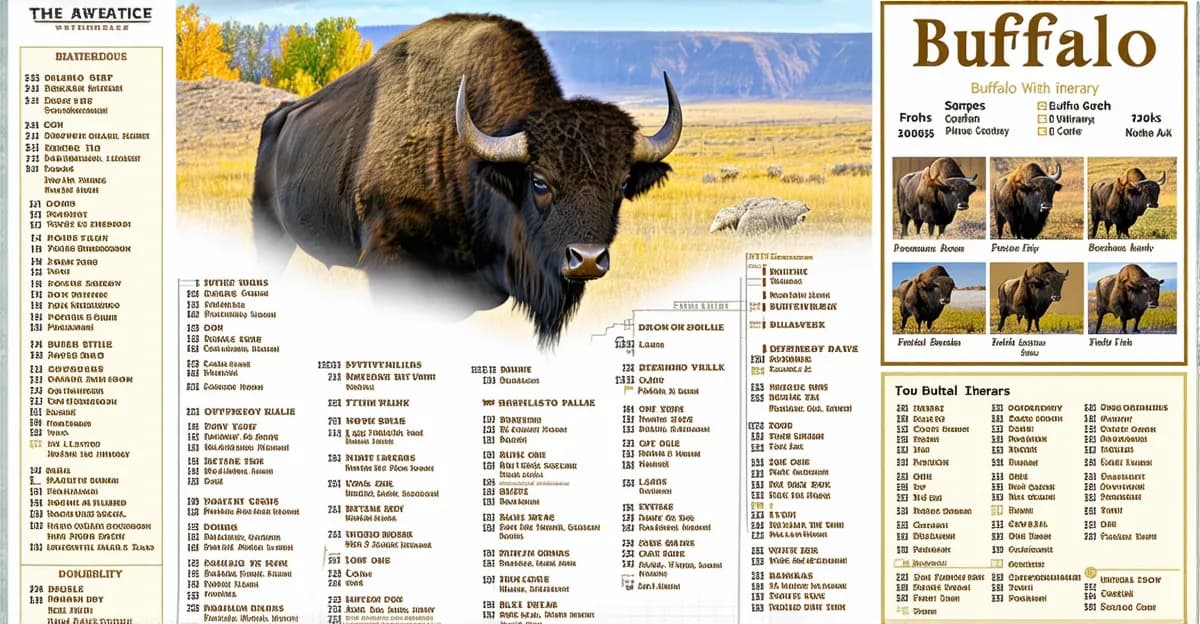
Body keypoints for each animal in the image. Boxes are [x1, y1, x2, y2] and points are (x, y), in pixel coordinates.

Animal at [251, 14, 682, 345]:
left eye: (622, 184)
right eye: (539, 182)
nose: (587, 259)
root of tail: (281, 117)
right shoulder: (388, 260)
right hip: (269, 232)